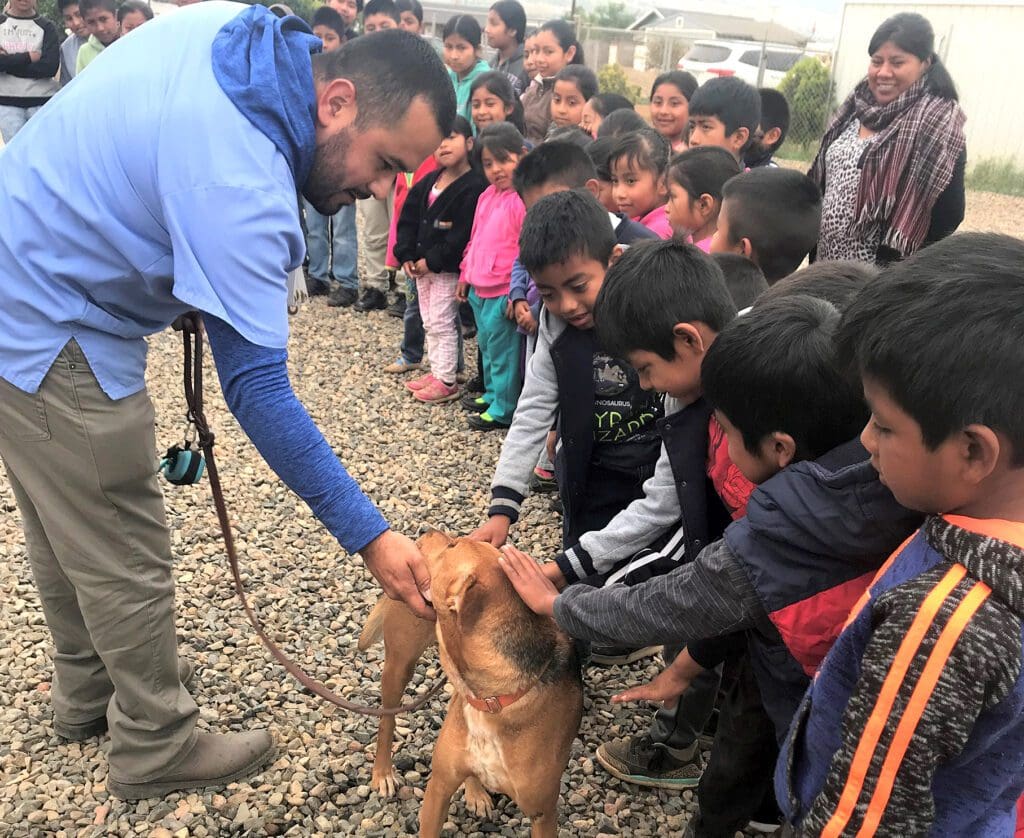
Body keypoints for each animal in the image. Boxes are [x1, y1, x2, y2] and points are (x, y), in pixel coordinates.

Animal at [358, 532, 585, 831]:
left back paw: (475, 792)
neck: (493, 699)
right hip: (399, 665)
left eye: (452, 545)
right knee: (387, 721)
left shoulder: (543, 813)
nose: (425, 531)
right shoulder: (438, 788)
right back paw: (382, 772)